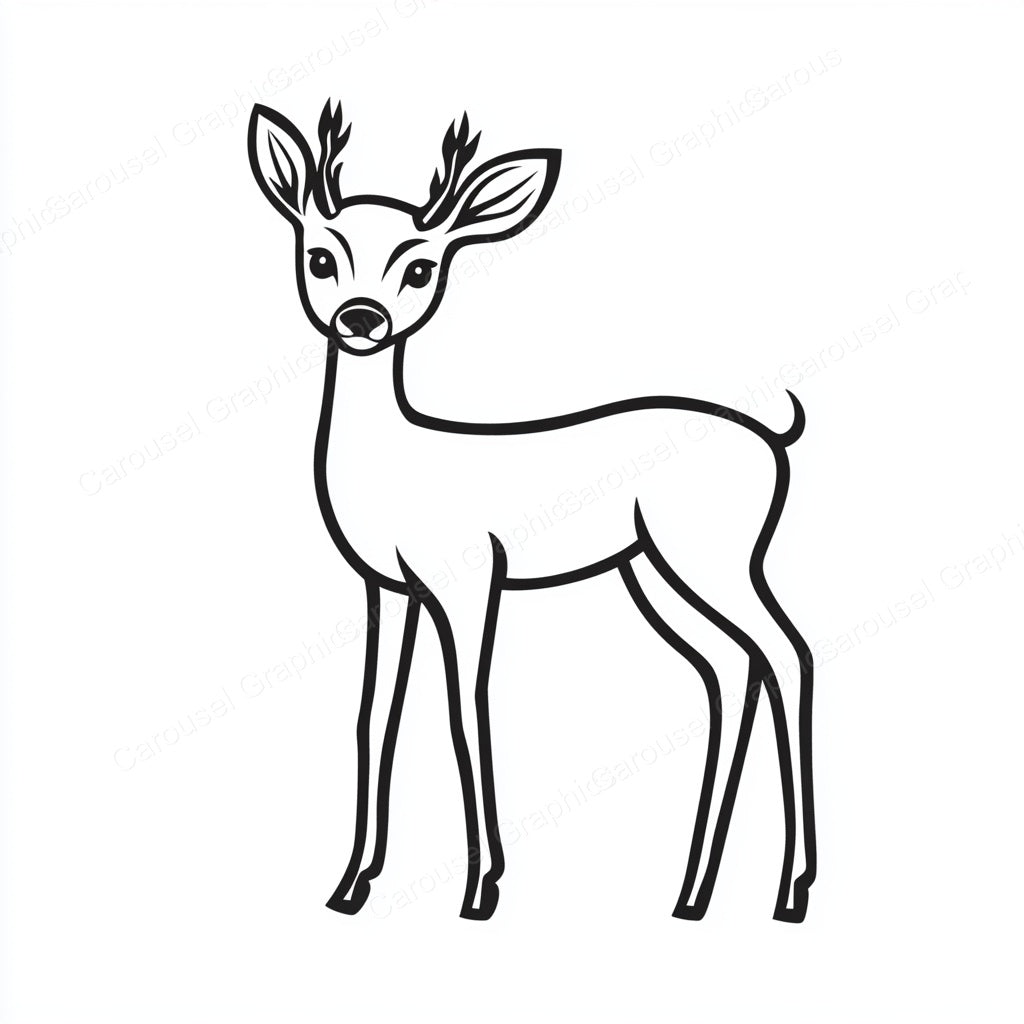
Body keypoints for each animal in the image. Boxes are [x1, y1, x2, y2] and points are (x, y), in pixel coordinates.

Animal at [246, 99, 817, 923]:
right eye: (321, 257)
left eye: (420, 267)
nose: (362, 318)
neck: (397, 460)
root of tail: (774, 436)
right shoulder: (386, 588)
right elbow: (373, 716)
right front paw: (350, 886)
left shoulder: (469, 578)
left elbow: (466, 707)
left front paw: (481, 889)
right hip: (652, 573)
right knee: (732, 668)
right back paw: (692, 894)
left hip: (713, 558)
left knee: (788, 655)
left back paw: (790, 892)